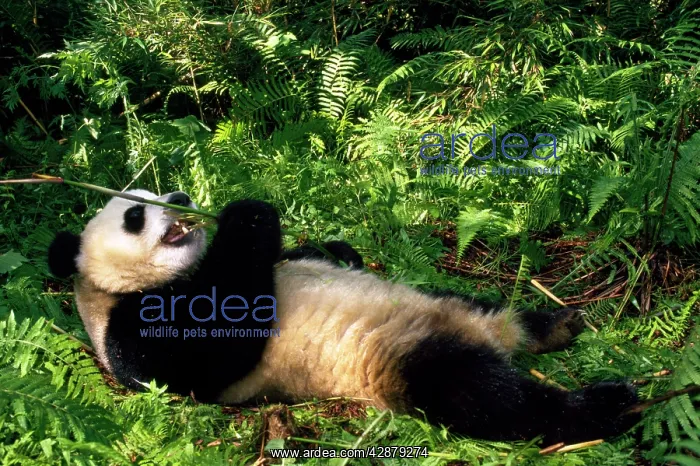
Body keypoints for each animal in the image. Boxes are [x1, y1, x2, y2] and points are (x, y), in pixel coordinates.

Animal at [48, 189, 640, 444]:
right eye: (134, 213)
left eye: (155, 191)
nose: (180, 196)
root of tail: (483, 334)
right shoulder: (135, 335)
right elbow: (217, 343)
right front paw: (248, 217)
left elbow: (315, 254)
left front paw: (337, 249)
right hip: (405, 358)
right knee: (489, 399)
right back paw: (608, 404)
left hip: (441, 299)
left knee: (485, 309)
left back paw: (552, 324)